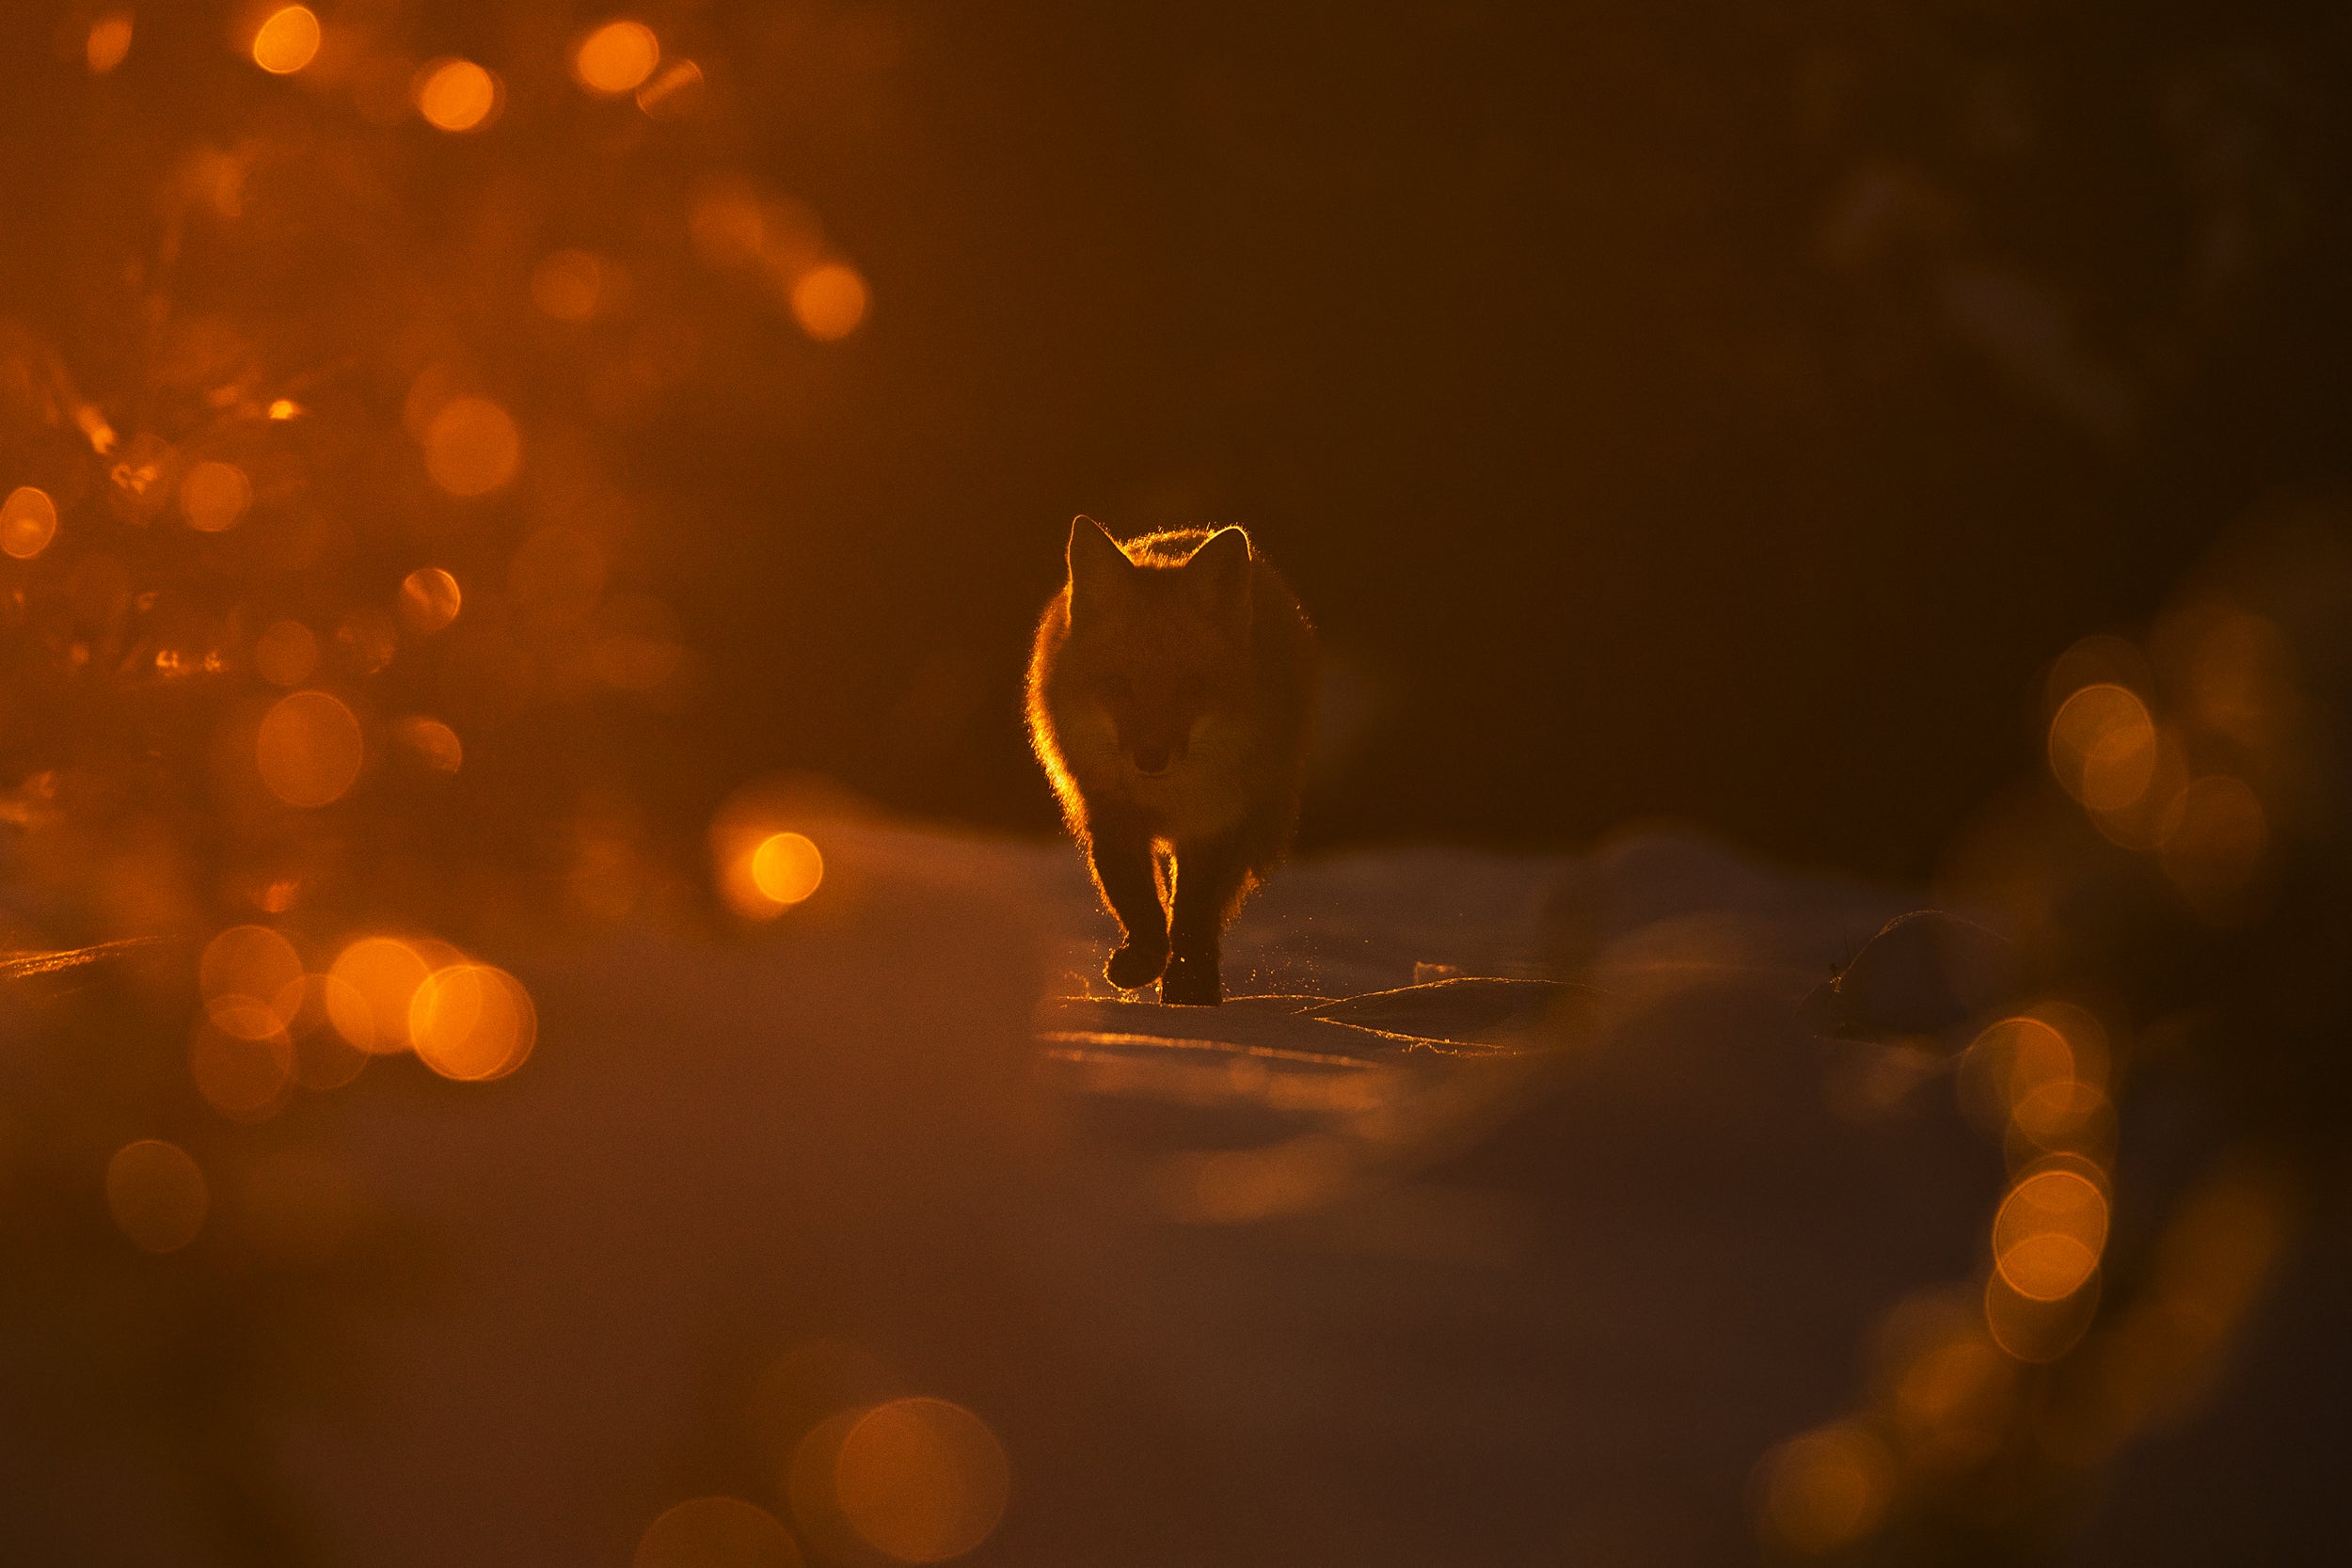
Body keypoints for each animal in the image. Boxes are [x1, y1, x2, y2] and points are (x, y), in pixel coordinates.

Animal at [1027, 517, 1318, 1006]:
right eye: (1117, 685)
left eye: (1189, 687)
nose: (1150, 757)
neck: (1164, 796)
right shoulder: (1110, 813)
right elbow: (1139, 903)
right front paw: (1144, 961)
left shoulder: (1216, 822)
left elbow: (1193, 918)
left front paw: (1189, 992)